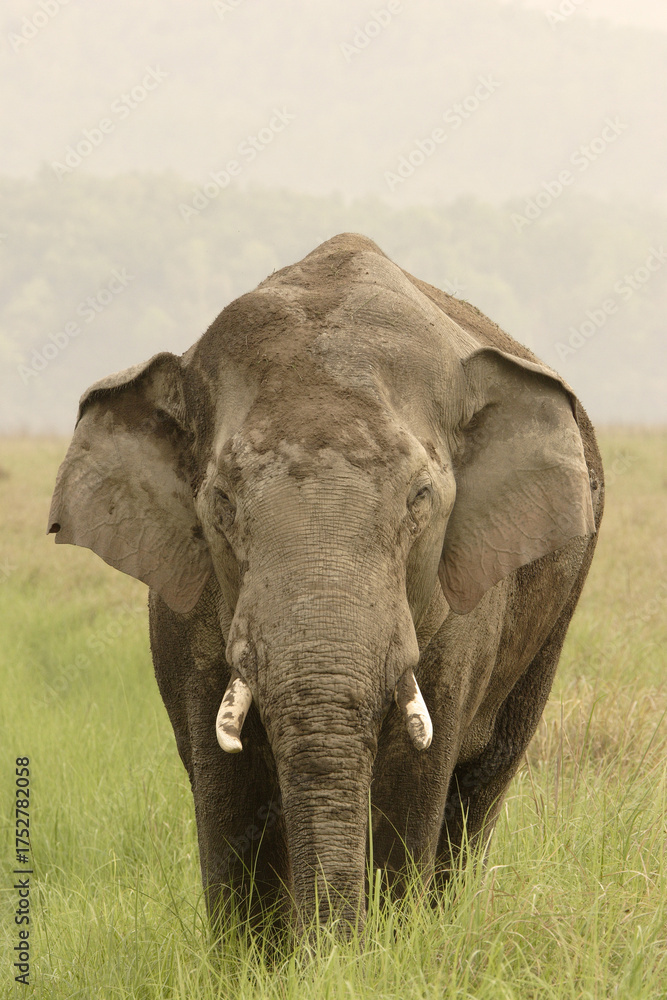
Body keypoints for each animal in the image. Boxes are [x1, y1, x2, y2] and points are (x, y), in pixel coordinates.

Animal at [48, 233, 604, 937]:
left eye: (421, 500)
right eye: (221, 503)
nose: (331, 946)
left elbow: (411, 781)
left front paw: (385, 944)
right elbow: (226, 783)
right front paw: (265, 955)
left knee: (483, 781)